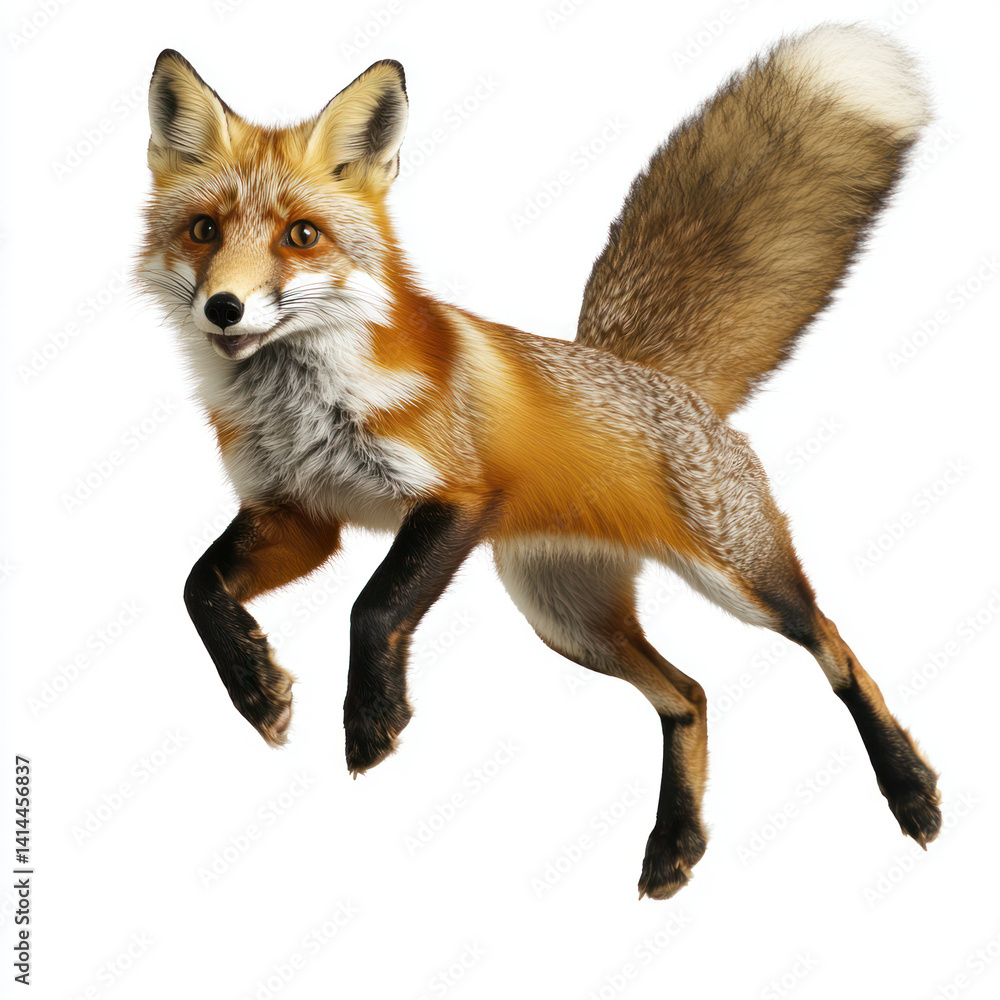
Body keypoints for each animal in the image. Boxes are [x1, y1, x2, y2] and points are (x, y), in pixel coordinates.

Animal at [138, 23, 942, 900]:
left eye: (301, 236)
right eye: (204, 231)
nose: (224, 308)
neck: (300, 408)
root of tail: (645, 370)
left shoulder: (455, 497)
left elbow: (374, 606)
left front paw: (372, 719)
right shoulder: (296, 514)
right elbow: (196, 590)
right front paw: (255, 687)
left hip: (742, 579)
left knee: (835, 648)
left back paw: (908, 788)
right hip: (568, 619)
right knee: (688, 696)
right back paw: (676, 842)